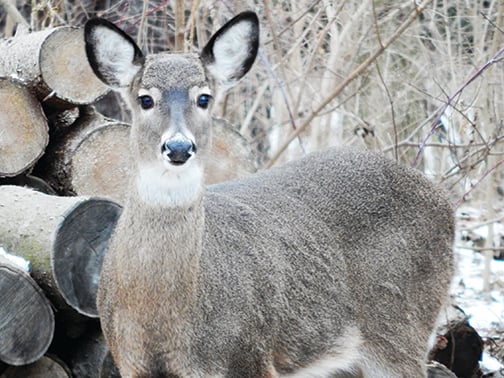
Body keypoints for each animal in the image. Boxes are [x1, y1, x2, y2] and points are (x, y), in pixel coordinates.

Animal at [85, 11, 456, 378]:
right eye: (145, 99)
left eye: (204, 97)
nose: (178, 147)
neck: (161, 316)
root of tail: (443, 201)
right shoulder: (128, 361)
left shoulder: (250, 356)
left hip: (401, 327)